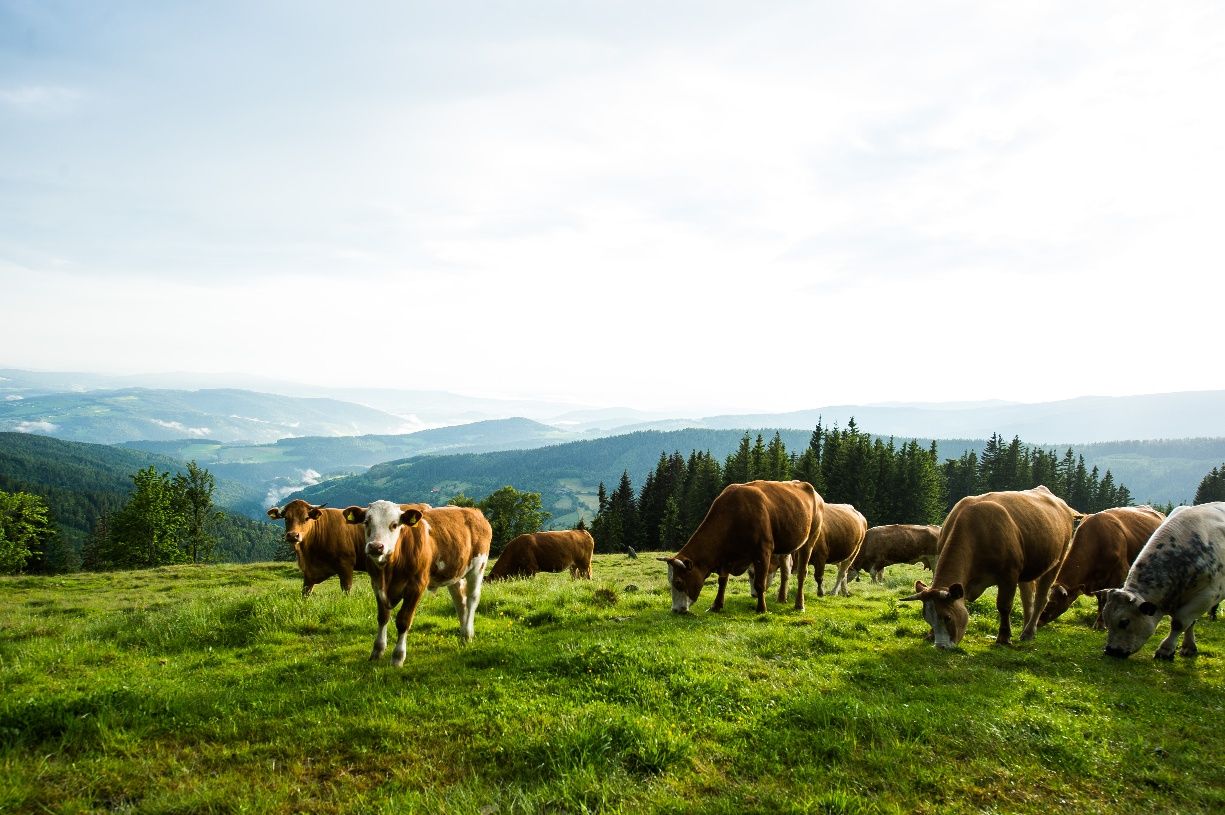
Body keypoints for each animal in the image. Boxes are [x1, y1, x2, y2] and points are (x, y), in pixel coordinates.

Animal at [343, 500, 492, 666]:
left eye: (394, 524)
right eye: (366, 522)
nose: (376, 547)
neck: (388, 573)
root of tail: (473, 511)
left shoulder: (416, 586)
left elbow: (403, 620)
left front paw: (398, 657)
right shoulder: (377, 585)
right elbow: (382, 617)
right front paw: (377, 650)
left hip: (478, 566)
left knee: (472, 599)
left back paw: (467, 634)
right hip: (455, 573)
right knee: (460, 601)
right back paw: (463, 636)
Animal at [660, 479, 824, 614]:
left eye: (678, 582)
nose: (675, 610)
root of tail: (812, 491)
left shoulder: (763, 551)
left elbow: (759, 583)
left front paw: (761, 609)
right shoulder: (726, 557)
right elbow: (722, 581)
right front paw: (716, 605)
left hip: (810, 539)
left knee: (802, 573)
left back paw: (799, 605)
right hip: (786, 547)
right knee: (785, 572)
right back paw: (782, 599)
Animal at [900, 485, 1079, 648]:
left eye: (948, 617)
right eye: (927, 618)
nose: (941, 646)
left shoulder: (1009, 575)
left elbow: (1004, 606)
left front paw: (1004, 638)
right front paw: (930, 635)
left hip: (1056, 562)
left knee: (1041, 598)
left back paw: (1029, 632)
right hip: (1027, 570)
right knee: (1027, 598)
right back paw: (1026, 628)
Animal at [1101, 502, 1225, 660]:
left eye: (1124, 622)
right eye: (1106, 620)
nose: (1110, 650)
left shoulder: (1207, 595)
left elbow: (1179, 623)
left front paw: (1165, 650)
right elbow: (1190, 623)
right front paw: (1188, 646)